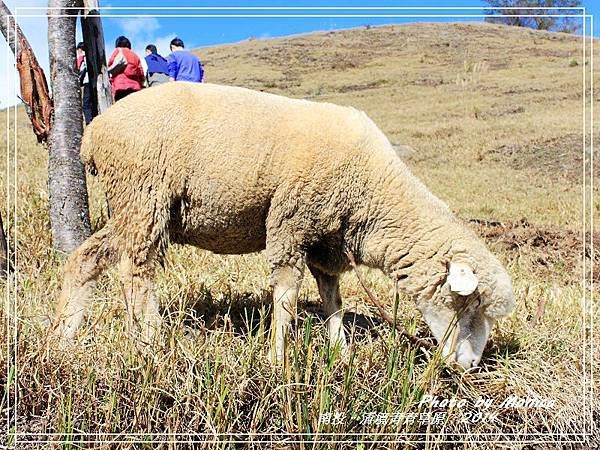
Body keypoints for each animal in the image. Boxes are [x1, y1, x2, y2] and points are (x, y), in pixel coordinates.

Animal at [52, 81, 516, 370]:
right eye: (471, 304)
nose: (471, 366)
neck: (373, 194)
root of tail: (93, 134)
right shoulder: (290, 222)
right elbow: (288, 296)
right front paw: (279, 359)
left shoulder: (325, 241)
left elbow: (332, 299)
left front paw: (340, 352)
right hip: (143, 193)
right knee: (136, 270)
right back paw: (152, 341)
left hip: (132, 205)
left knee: (86, 260)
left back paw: (64, 336)